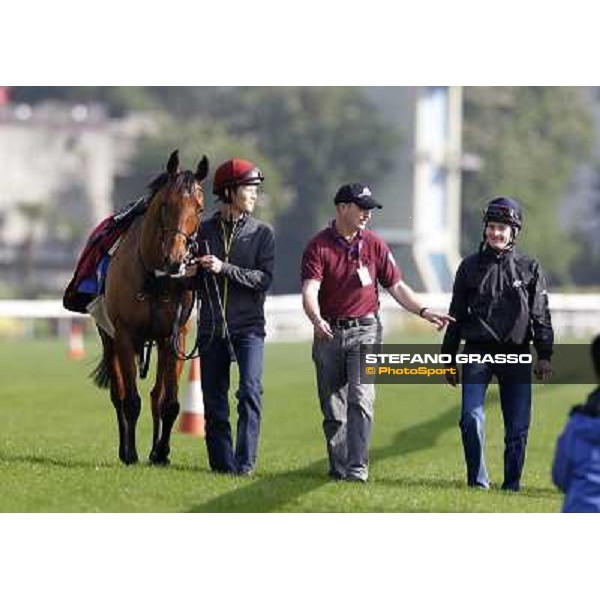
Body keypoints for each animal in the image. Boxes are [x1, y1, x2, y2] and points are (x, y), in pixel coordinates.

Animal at [92, 149, 209, 464]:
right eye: (166, 205)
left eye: (200, 208)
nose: (176, 259)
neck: (155, 279)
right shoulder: (123, 334)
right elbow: (130, 399)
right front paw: (131, 452)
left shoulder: (174, 336)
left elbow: (169, 401)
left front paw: (161, 452)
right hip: (108, 338)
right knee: (118, 394)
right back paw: (125, 449)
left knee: (157, 394)